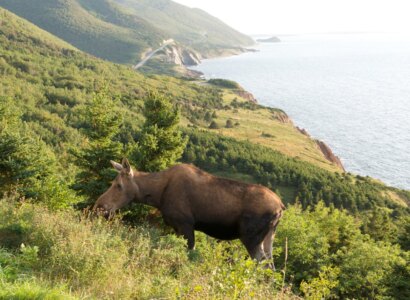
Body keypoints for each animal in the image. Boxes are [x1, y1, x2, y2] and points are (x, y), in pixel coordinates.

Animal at [93, 158, 286, 268]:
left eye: (118, 185)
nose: (100, 206)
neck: (157, 195)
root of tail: (281, 207)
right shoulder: (177, 227)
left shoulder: (186, 224)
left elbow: (189, 254)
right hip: (269, 236)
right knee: (271, 265)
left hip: (250, 237)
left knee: (261, 264)